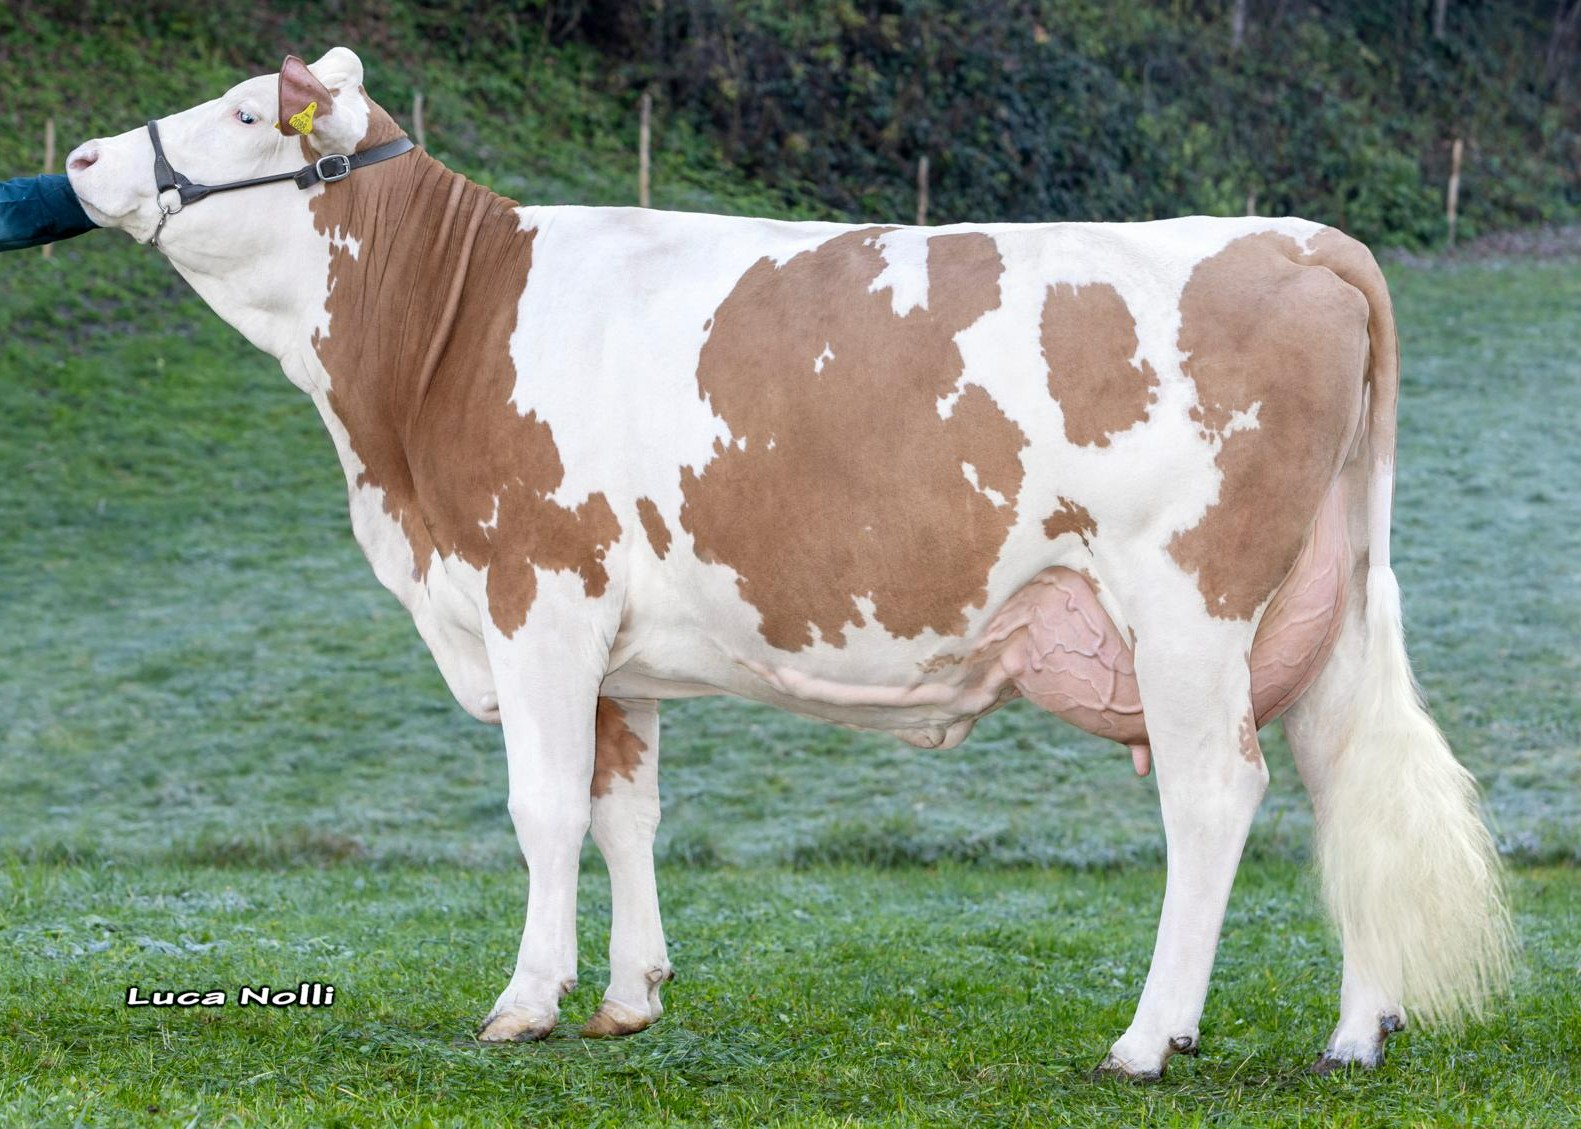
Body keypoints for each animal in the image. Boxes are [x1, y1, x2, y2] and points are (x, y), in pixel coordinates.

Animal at [64, 48, 1511, 1079]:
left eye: (245, 114)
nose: (78, 154)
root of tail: (1300, 235)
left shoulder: (539, 593)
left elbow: (542, 809)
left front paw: (525, 1002)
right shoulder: (613, 645)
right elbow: (624, 809)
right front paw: (629, 997)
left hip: (1191, 606)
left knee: (1218, 796)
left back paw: (1151, 1038)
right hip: (1317, 603)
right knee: (1340, 781)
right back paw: (1355, 1031)